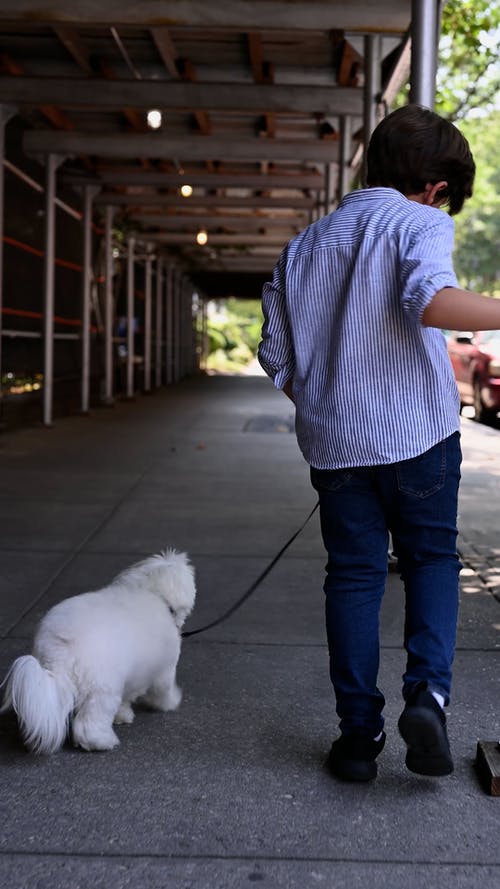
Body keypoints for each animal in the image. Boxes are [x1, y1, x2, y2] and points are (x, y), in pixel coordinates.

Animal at [0, 552, 196, 752]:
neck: (155, 595)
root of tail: (61, 645)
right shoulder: (165, 669)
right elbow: (163, 690)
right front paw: (171, 702)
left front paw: (122, 715)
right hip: (101, 687)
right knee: (89, 723)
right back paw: (101, 742)